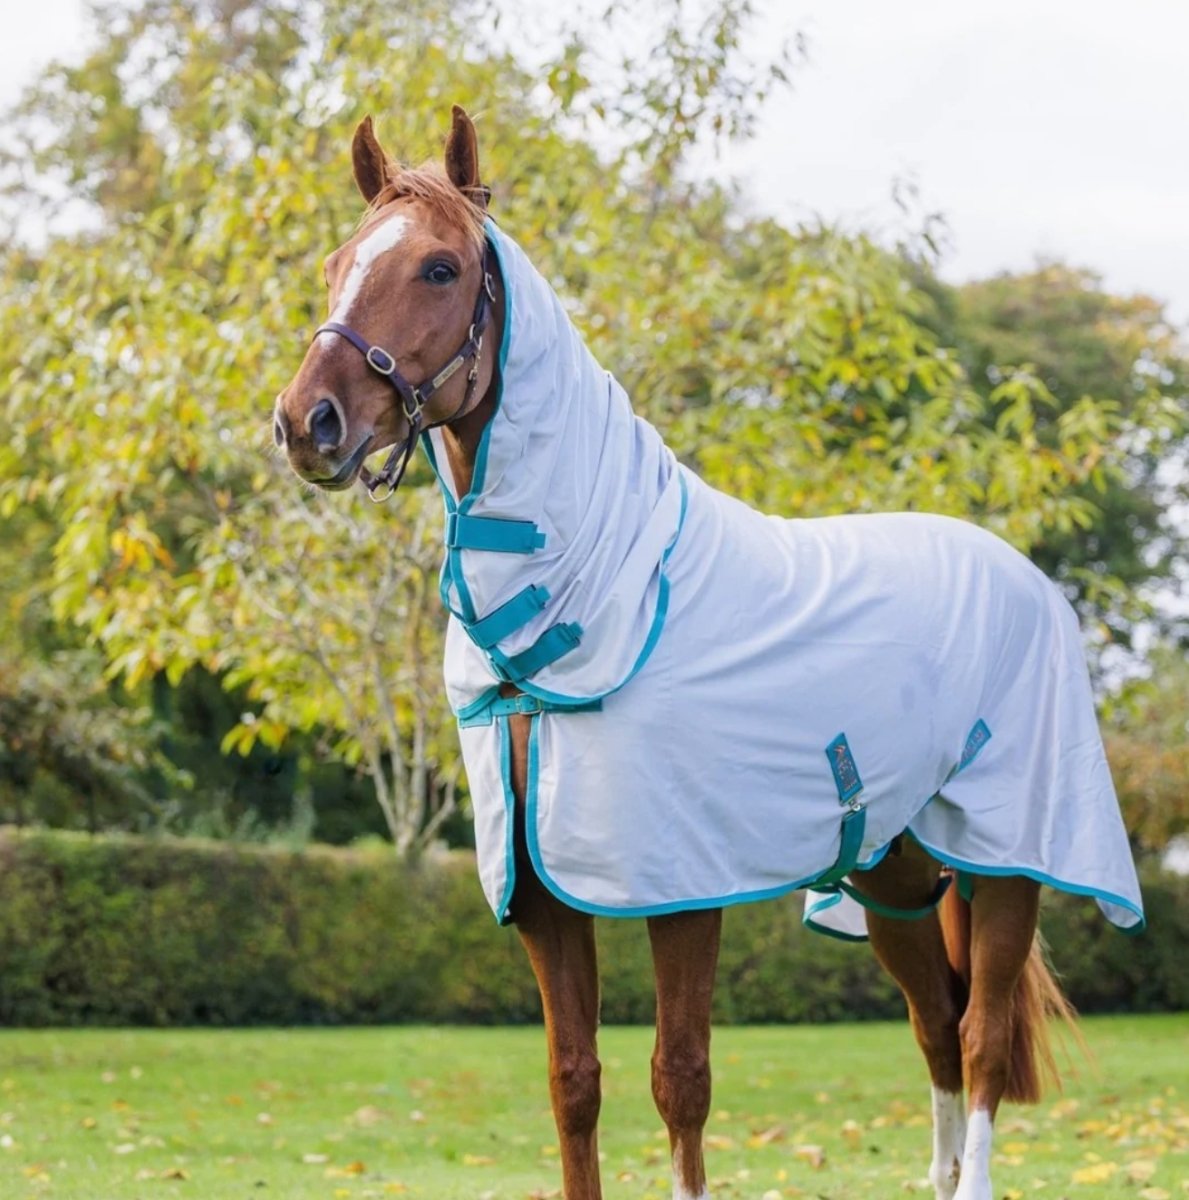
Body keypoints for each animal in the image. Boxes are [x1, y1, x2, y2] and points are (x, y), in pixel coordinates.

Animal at [273, 105, 1144, 1200]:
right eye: (338, 263)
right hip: (896, 882)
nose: (307, 423)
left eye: (439, 267)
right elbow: (573, 1083)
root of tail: (1019, 574)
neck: (603, 581)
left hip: (1008, 865)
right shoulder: (542, 896)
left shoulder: (684, 888)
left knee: (982, 1037)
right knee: (935, 1028)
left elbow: (679, 1079)